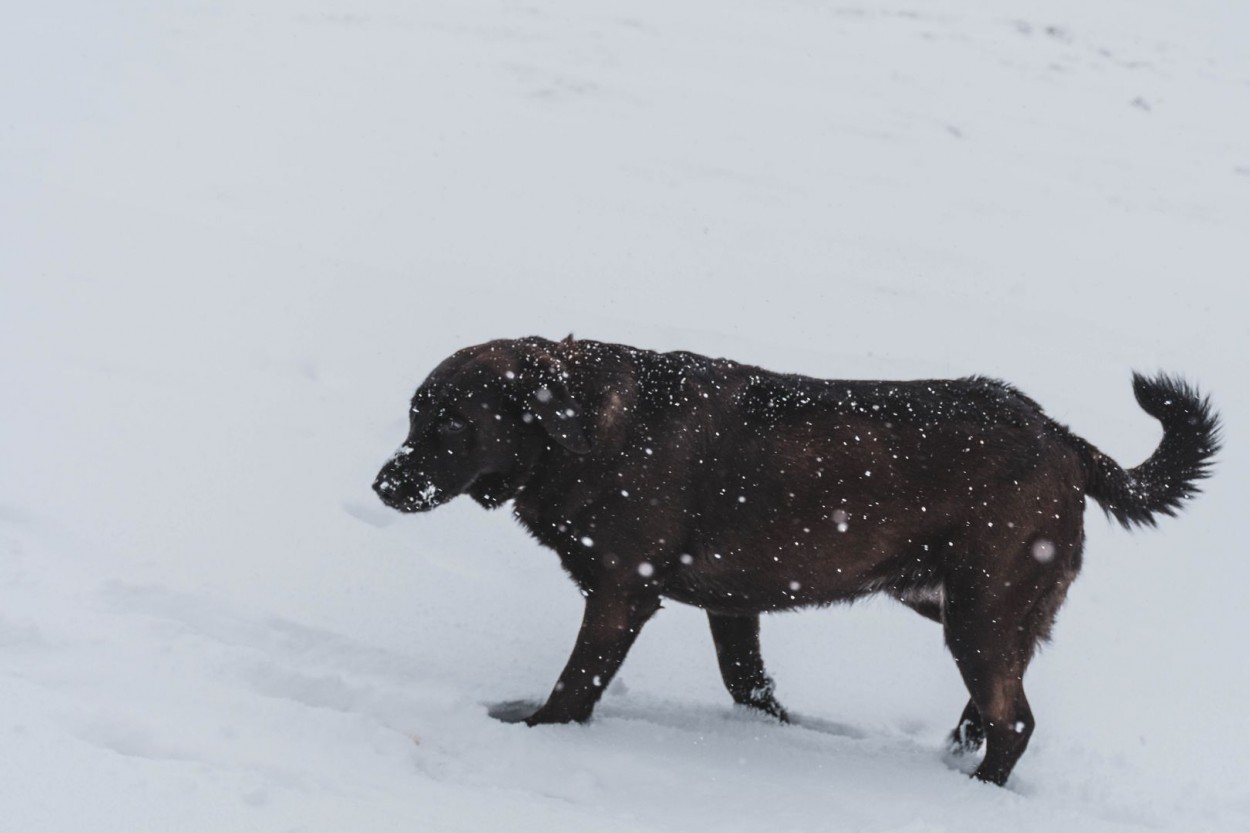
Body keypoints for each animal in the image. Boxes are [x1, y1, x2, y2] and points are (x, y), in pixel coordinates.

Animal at [372, 335, 1220, 780]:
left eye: (452, 427)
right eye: (414, 415)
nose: (384, 484)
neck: (584, 430)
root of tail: (1065, 440)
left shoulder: (622, 593)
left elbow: (577, 682)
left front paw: (538, 735)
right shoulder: (734, 602)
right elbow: (748, 683)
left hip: (978, 611)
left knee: (1015, 720)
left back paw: (974, 791)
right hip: (958, 603)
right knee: (996, 703)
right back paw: (955, 753)